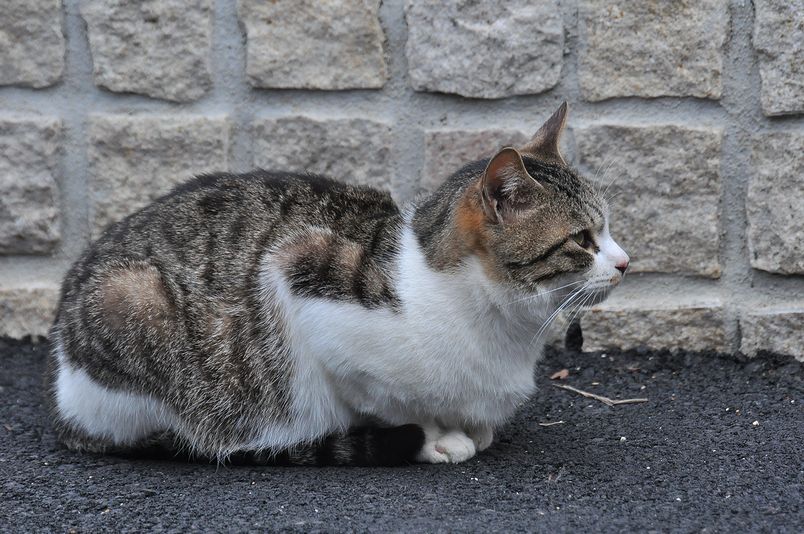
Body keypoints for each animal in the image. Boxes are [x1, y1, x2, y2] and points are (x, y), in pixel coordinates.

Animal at [48, 102, 628, 466]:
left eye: (608, 227)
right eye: (582, 239)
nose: (625, 262)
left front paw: (472, 426)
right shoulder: (302, 275)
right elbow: (386, 402)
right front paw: (438, 436)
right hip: (132, 299)